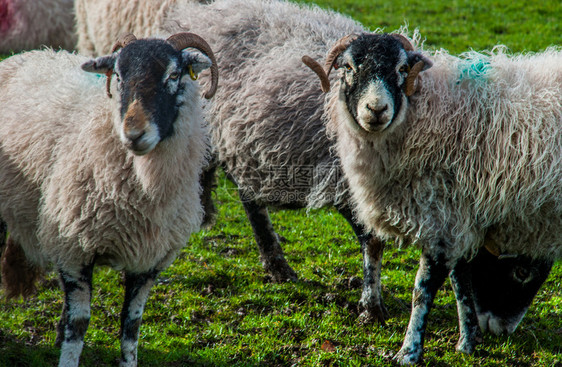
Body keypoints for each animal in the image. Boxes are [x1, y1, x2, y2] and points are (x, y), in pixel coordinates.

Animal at [0, 31, 217, 367]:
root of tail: (27, 53)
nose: (134, 134)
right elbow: (78, 326)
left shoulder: (149, 261)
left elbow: (131, 328)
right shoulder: (72, 248)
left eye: (173, 75)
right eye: (118, 76)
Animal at [302, 29, 560, 366]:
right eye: (347, 67)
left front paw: (409, 351)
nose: (376, 110)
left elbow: (422, 289)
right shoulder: (460, 219)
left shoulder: (442, 218)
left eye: (401, 68)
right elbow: (461, 282)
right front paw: (467, 342)